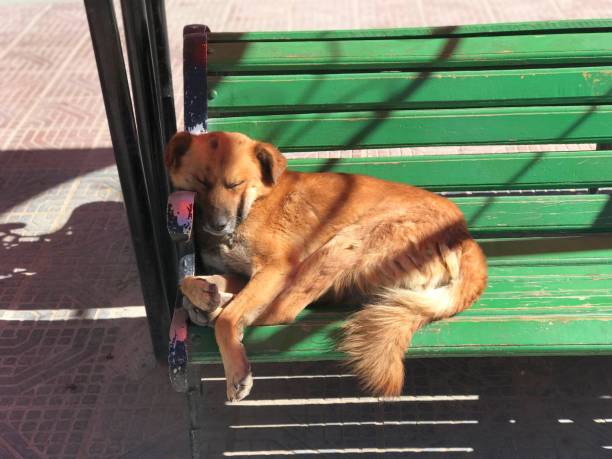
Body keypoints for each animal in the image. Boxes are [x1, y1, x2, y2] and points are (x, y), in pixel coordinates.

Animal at [164, 131, 488, 400]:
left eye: (235, 184)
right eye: (201, 183)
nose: (217, 225)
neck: (256, 201)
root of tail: (464, 235)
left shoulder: (277, 268)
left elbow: (231, 318)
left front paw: (234, 365)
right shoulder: (249, 273)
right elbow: (186, 281)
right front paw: (204, 290)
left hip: (342, 244)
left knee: (282, 311)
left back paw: (216, 310)